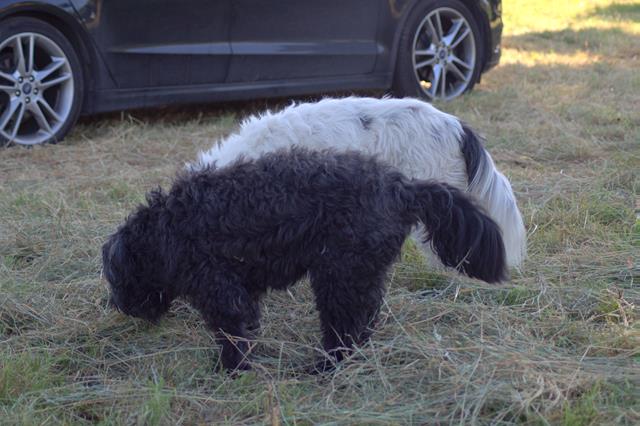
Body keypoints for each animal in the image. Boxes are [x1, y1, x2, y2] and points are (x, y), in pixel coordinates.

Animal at [104, 148, 507, 372]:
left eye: (117, 279)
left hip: (339, 274)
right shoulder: (242, 293)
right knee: (364, 322)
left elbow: (232, 336)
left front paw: (232, 371)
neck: (165, 230)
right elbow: (247, 327)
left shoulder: (220, 291)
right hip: (358, 274)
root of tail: (403, 188)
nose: (119, 307)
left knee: (346, 329)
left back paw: (325, 367)